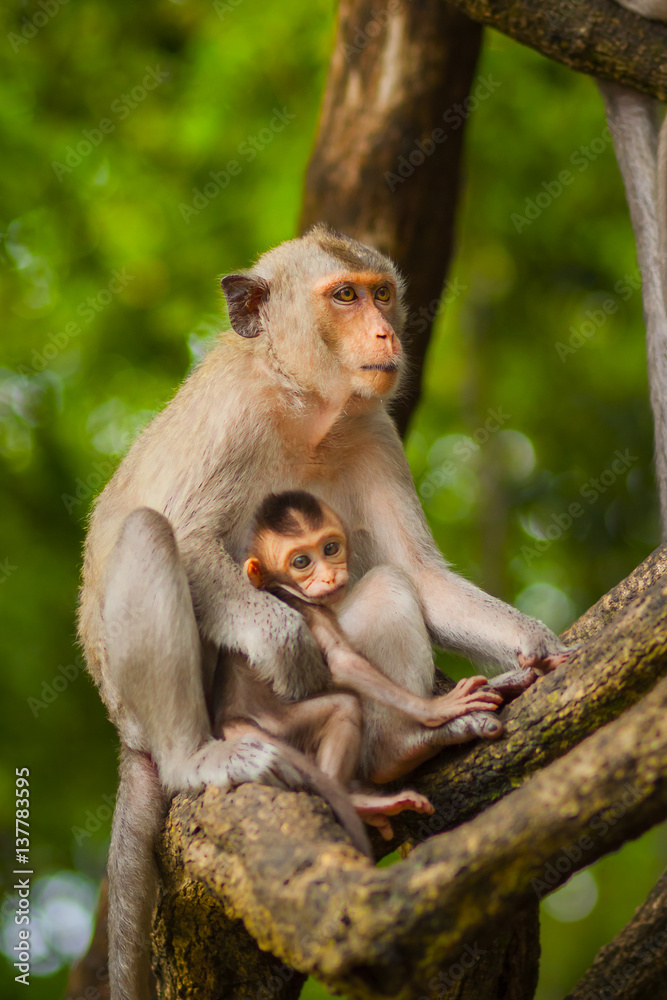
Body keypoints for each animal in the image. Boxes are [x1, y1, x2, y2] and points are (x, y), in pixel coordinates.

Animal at [234, 490, 500, 836]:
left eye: (330, 548)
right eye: (301, 562)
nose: (329, 576)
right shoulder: (308, 608)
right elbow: (341, 662)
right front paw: (436, 710)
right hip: (285, 729)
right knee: (386, 583)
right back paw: (395, 754)